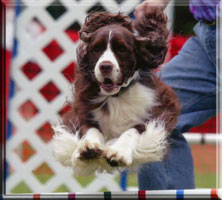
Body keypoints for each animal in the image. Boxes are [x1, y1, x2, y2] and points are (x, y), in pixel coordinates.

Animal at [52, 7, 180, 176]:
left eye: (122, 49)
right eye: (96, 49)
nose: (105, 66)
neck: (115, 96)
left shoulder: (156, 113)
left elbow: (133, 129)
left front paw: (118, 152)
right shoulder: (82, 111)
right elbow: (90, 128)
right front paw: (88, 146)